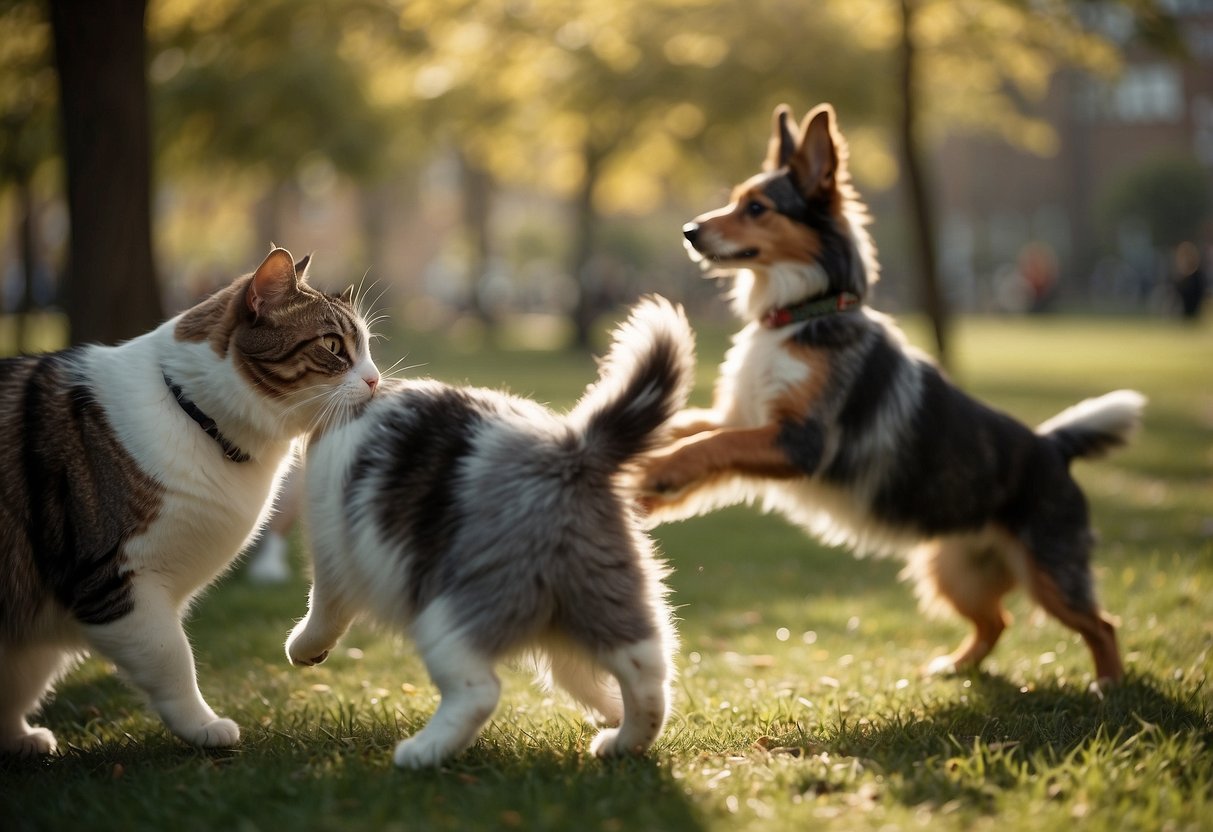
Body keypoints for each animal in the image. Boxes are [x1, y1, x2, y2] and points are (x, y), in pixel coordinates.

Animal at [0, 247, 378, 756]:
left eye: (368, 348)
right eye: (334, 346)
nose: (376, 380)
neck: (196, 415)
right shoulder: (113, 579)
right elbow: (171, 656)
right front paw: (203, 726)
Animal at [285, 298, 698, 771]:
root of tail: (569, 454)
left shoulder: (333, 553)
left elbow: (323, 610)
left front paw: (303, 649)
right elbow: (582, 679)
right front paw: (608, 713)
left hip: (449, 613)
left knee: (479, 692)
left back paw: (420, 753)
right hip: (603, 593)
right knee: (647, 673)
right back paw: (622, 742)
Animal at [640, 102, 1140, 684]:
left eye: (757, 208)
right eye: (735, 198)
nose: (689, 231)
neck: (800, 315)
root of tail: (1053, 445)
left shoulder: (798, 441)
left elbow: (707, 446)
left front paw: (657, 472)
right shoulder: (744, 417)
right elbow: (694, 433)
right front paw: (641, 463)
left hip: (1049, 576)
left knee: (1101, 625)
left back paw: (1107, 685)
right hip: (952, 570)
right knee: (998, 622)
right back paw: (953, 668)